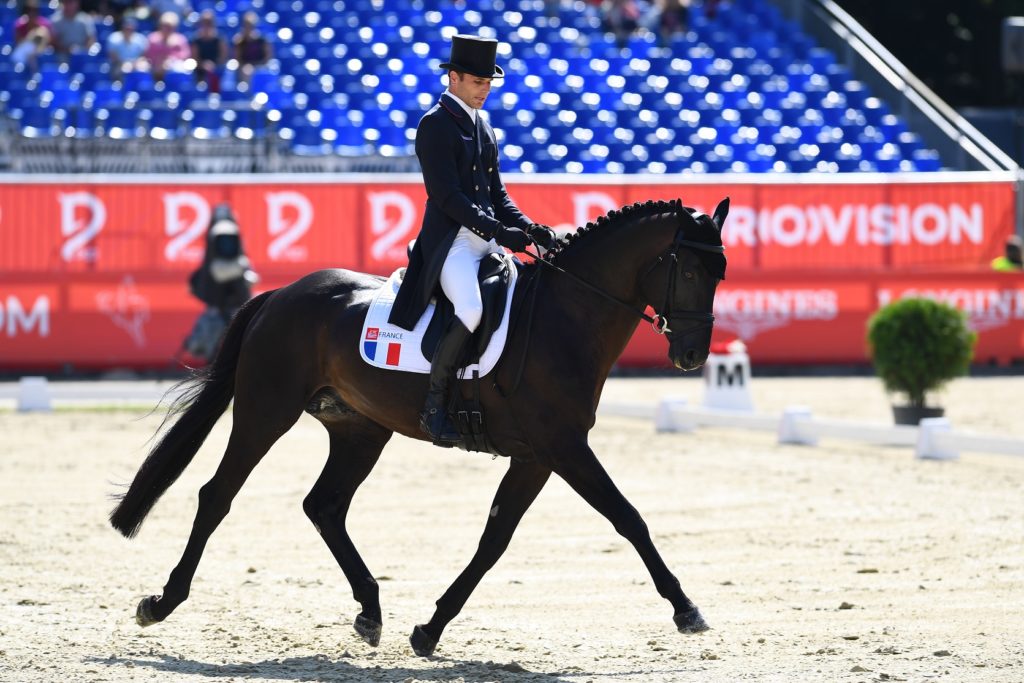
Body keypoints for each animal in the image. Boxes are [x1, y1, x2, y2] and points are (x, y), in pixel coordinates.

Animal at [110, 196, 729, 655]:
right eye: (689, 270)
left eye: (719, 273)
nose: (693, 355)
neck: (564, 318)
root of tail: (280, 294)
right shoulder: (565, 446)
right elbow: (629, 518)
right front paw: (687, 609)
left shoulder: (537, 455)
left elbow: (494, 540)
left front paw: (429, 630)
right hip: (267, 410)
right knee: (218, 494)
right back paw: (160, 603)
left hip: (360, 429)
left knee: (324, 506)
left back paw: (370, 612)